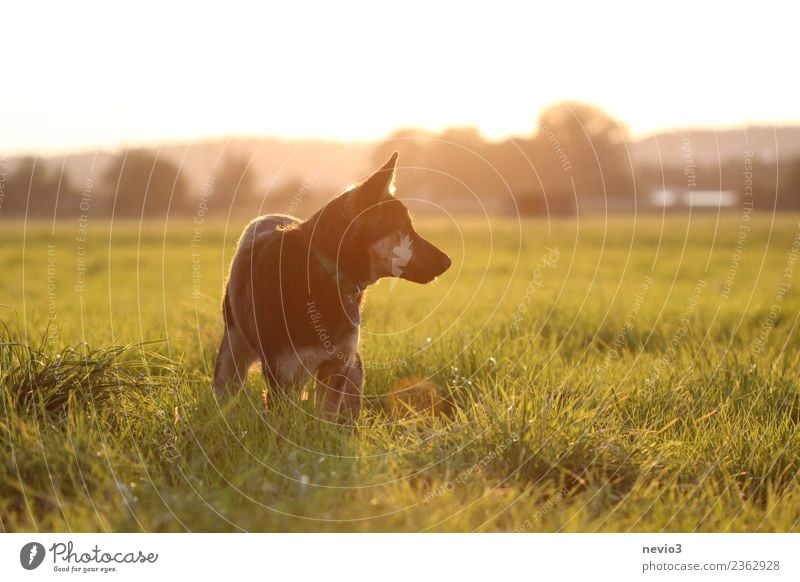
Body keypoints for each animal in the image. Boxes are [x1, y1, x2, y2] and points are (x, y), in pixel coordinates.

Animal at [212, 153, 450, 422]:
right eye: (404, 229)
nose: (448, 262)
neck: (329, 276)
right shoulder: (283, 374)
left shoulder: (337, 367)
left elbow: (327, 415)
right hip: (233, 349)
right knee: (225, 386)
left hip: (351, 365)